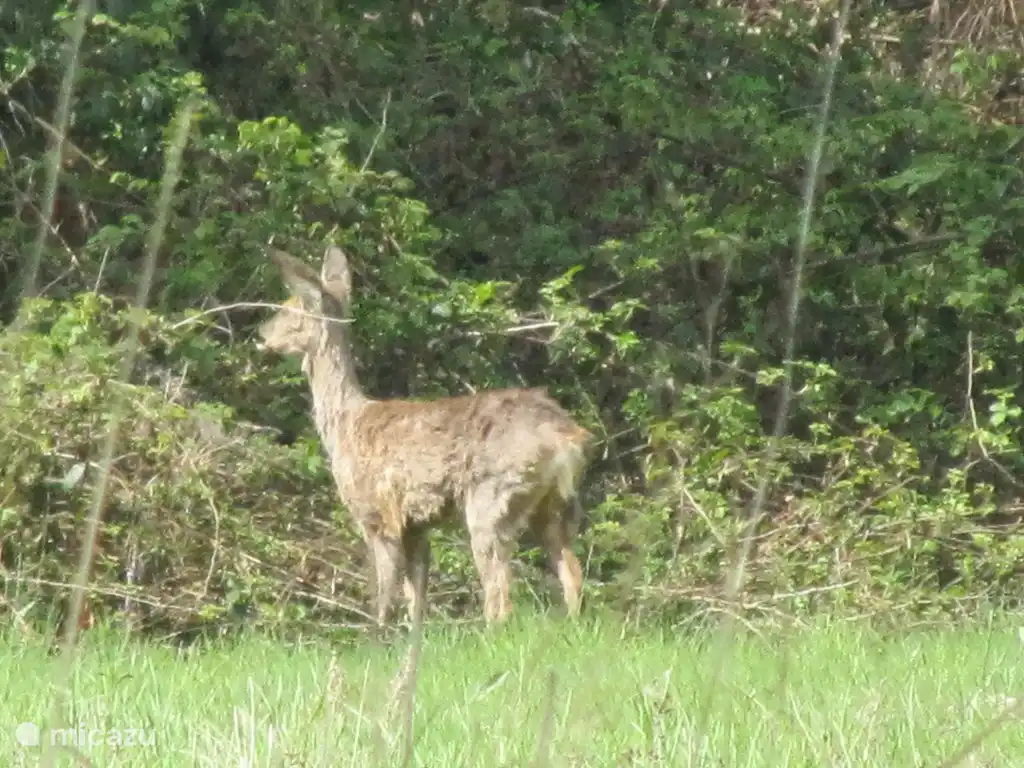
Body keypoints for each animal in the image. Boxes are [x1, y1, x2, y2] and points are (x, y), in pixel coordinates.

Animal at [256, 245, 594, 627]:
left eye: (289, 308)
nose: (261, 334)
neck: (344, 424)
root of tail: (566, 437)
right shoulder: (416, 524)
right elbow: (415, 596)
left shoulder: (377, 513)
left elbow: (385, 596)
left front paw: (379, 635)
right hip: (555, 505)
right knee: (572, 575)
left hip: (493, 497)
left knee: (502, 596)